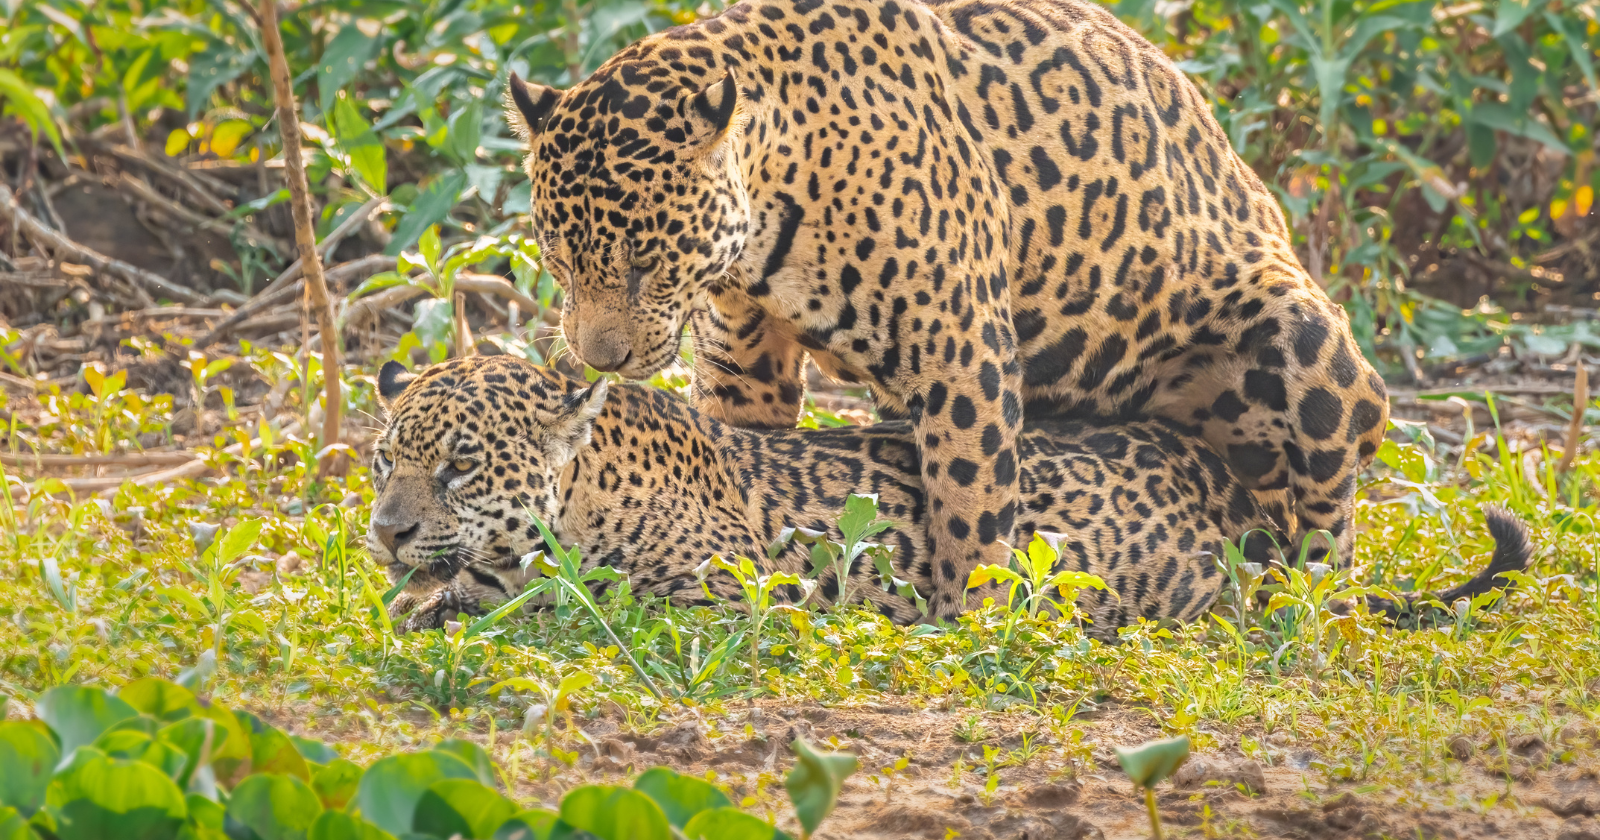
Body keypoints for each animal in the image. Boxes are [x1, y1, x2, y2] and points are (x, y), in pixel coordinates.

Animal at [504, 0, 1390, 619]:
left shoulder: (960, 346)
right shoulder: (743, 358)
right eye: (557, 258)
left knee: (1330, 524)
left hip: (1314, 346)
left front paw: (974, 619)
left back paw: (1312, 609)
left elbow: (971, 495)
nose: (599, 360)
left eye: (645, 262)